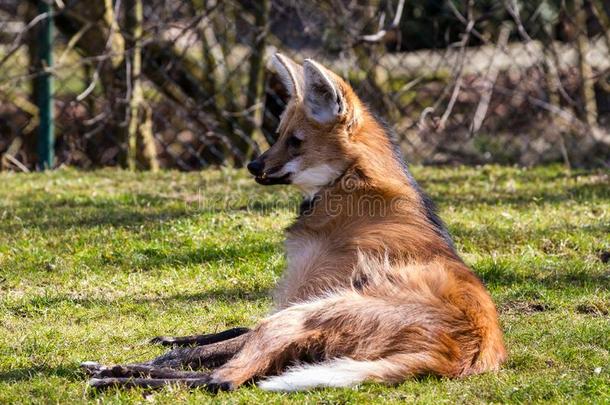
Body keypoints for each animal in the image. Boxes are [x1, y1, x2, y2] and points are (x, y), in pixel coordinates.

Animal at [84, 53, 504, 392]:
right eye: (278, 134)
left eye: (296, 141)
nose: (253, 165)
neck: (346, 184)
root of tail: (462, 350)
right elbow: (231, 331)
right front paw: (171, 339)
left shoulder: (301, 299)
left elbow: (214, 349)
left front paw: (152, 357)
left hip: (311, 313)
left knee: (223, 380)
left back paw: (111, 375)